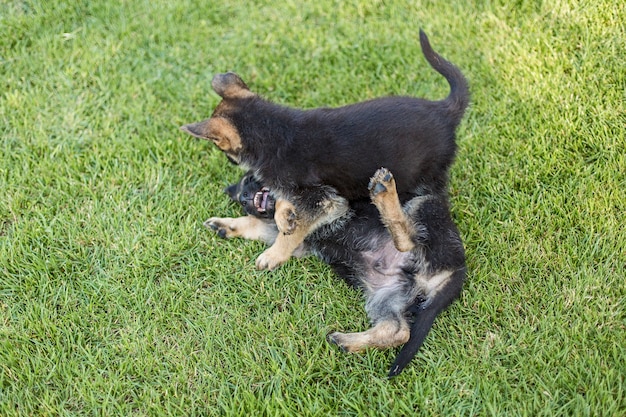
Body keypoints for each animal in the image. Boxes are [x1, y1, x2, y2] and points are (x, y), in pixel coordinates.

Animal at [178, 29, 466, 270]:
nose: (236, 189)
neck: (272, 129)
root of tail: (445, 111)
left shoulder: (325, 202)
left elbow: (293, 234)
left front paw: (274, 254)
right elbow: (286, 212)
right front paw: (283, 215)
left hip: (424, 186)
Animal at [210, 167, 464, 376]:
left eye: (250, 180)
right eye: (242, 202)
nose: (245, 198)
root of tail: (458, 269)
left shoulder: (331, 206)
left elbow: (283, 212)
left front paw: (280, 219)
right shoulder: (298, 242)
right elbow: (260, 225)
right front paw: (227, 225)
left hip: (423, 207)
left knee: (409, 237)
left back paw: (385, 193)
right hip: (387, 294)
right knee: (398, 331)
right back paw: (348, 341)